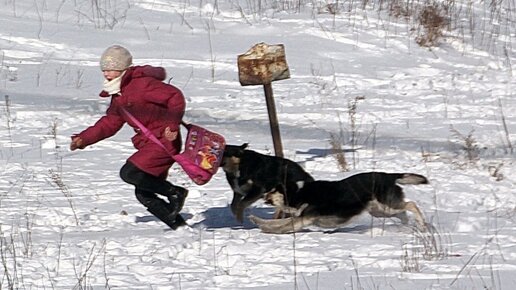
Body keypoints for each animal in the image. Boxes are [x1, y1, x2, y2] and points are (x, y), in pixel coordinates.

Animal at [252, 172, 430, 233]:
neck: (299, 192)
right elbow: (278, 222)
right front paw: (258, 222)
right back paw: (407, 226)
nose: (263, 194)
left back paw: (422, 225)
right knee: (403, 213)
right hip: (380, 211)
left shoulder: (304, 218)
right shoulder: (301, 217)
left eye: (273, 190)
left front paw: (268, 230)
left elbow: (282, 225)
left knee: (411, 204)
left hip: (385, 206)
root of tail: (389, 176)